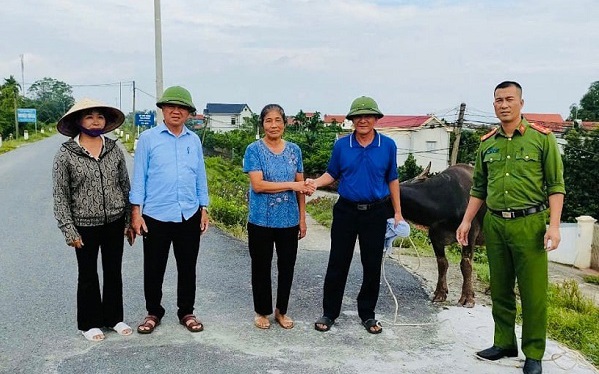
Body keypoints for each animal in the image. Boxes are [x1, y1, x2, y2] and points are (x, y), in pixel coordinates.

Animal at [400, 163, 486, 306]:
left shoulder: (470, 234)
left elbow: (466, 264)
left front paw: (467, 298)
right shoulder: (435, 237)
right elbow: (442, 263)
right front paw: (440, 293)